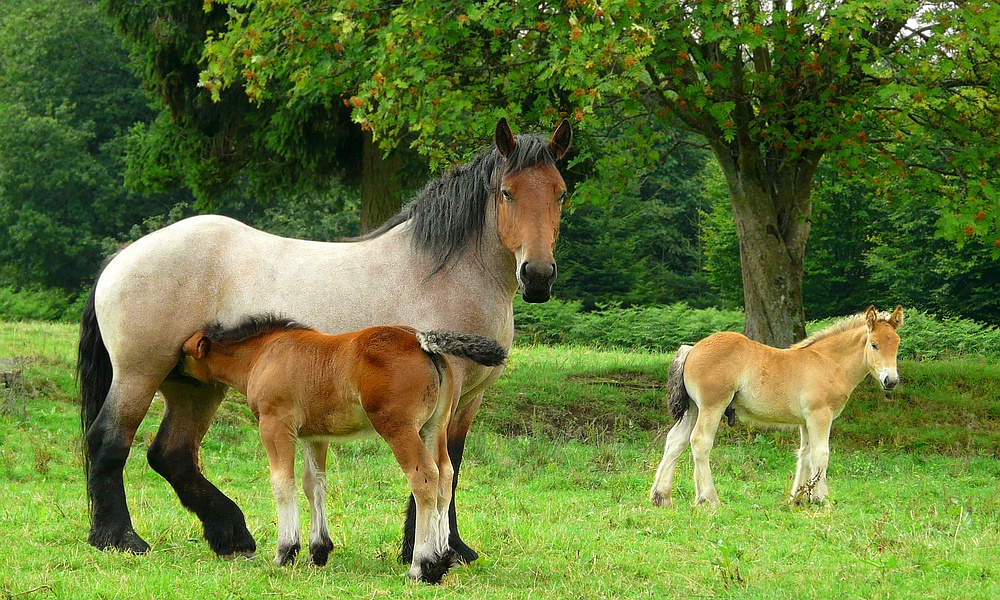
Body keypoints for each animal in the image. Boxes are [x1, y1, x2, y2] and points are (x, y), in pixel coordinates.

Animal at [177, 314, 504, 580]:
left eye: (183, 354)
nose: (172, 375)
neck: (264, 354)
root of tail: (421, 341)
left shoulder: (275, 425)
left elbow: (283, 483)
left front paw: (286, 551)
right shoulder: (314, 436)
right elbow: (314, 485)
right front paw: (318, 551)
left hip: (398, 426)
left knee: (423, 477)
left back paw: (422, 566)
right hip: (434, 426)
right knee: (446, 476)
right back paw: (444, 557)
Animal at [652, 308, 904, 508]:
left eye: (897, 344)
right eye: (874, 344)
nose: (890, 381)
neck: (828, 362)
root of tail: (692, 349)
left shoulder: (806, 421)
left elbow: (804, 454)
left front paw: (798, 498)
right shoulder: (820, 415)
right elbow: (821, 454)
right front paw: (822, 500)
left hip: (693, 408)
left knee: (675, 441)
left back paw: (661, 497)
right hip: (711, 406)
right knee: (700, 442)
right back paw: (709, 499)